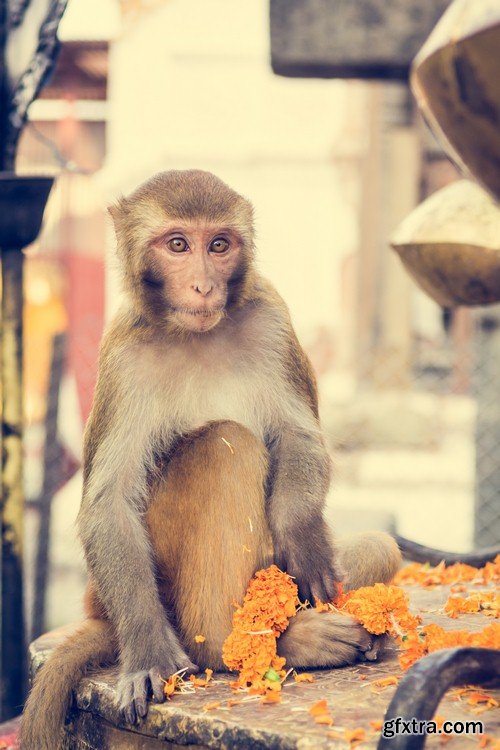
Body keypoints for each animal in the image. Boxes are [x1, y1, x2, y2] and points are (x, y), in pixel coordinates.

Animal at [20, 170, 402, 750]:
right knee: (222, 447)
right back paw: (253, 643)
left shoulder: (271, 317)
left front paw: (302, 532)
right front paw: (150, 654)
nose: (203, 285)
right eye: (178, 245)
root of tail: (97, 609)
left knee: (377, 545)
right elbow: (109, 504)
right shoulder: (122, 355)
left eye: (219, 245)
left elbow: (298, 436)